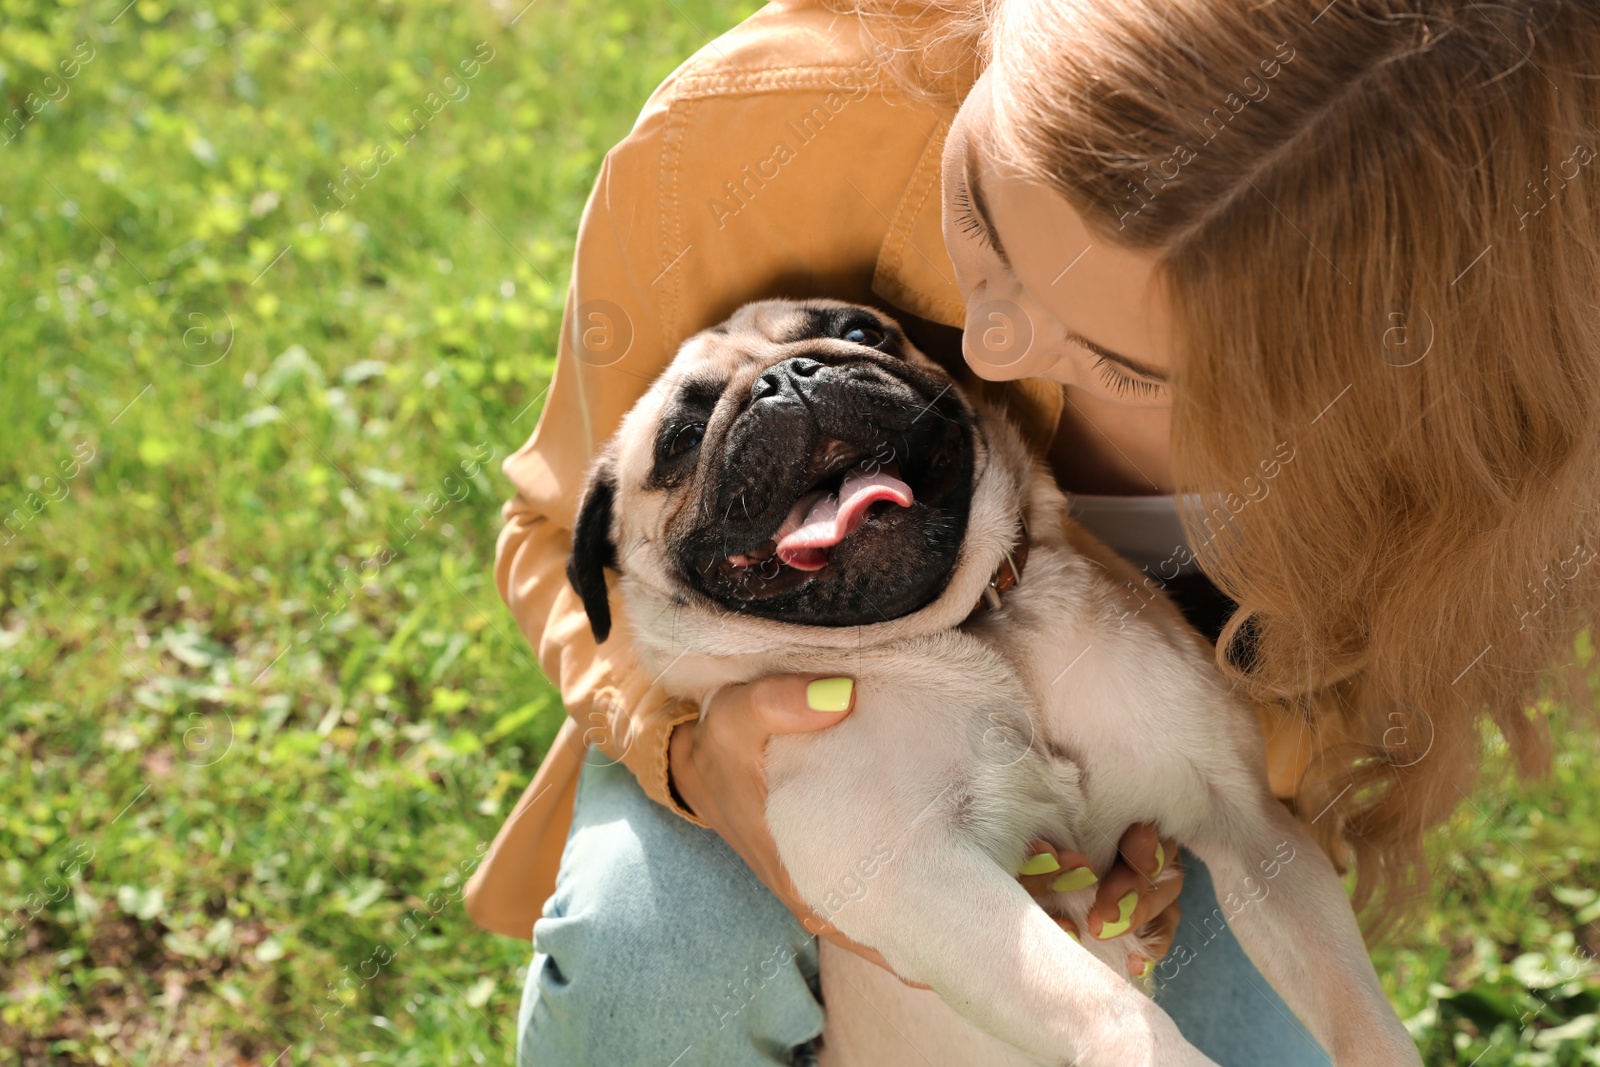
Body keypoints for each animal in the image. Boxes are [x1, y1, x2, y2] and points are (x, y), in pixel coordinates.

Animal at [569, 295, 1420, 1062]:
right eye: (681, 440)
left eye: (861, 333)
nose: (788, 376)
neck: (971, 627)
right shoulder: (921, 877)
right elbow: (1105, 1006)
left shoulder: (1254, 830)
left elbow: (1355, 1004)